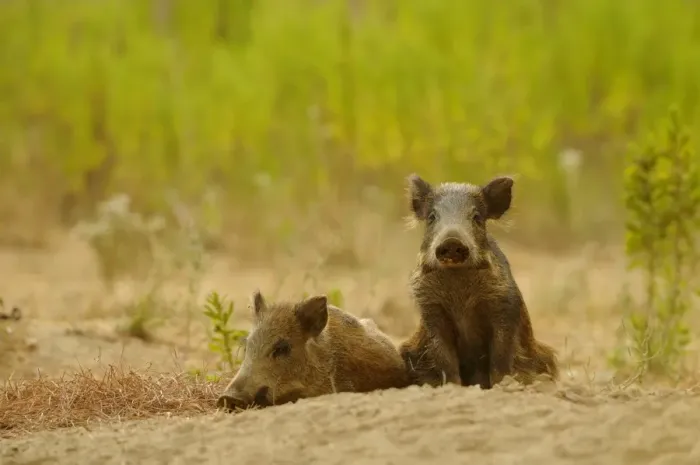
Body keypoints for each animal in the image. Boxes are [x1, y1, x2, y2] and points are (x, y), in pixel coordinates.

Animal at [398, 173, 559, 389]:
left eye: (476, 217)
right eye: (432, 217)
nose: (452, 241)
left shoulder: (504, 305)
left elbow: (500, 356)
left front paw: (501, 384)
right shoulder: (431, 311)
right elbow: (444, 358)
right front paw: (454, 386)